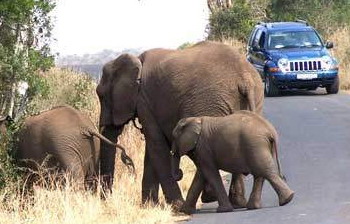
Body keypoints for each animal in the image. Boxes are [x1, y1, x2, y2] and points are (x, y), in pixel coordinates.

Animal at [95, 40, 262, 208]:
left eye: (101, 95)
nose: (105, 201)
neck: (136, 60)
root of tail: (245, 78)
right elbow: (152, 149)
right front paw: (150, 205)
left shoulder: (144, 101)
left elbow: (156, 147)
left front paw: (176, 206)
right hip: (253, 98)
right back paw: (238, 202)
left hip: (209, 103)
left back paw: (211, 198)